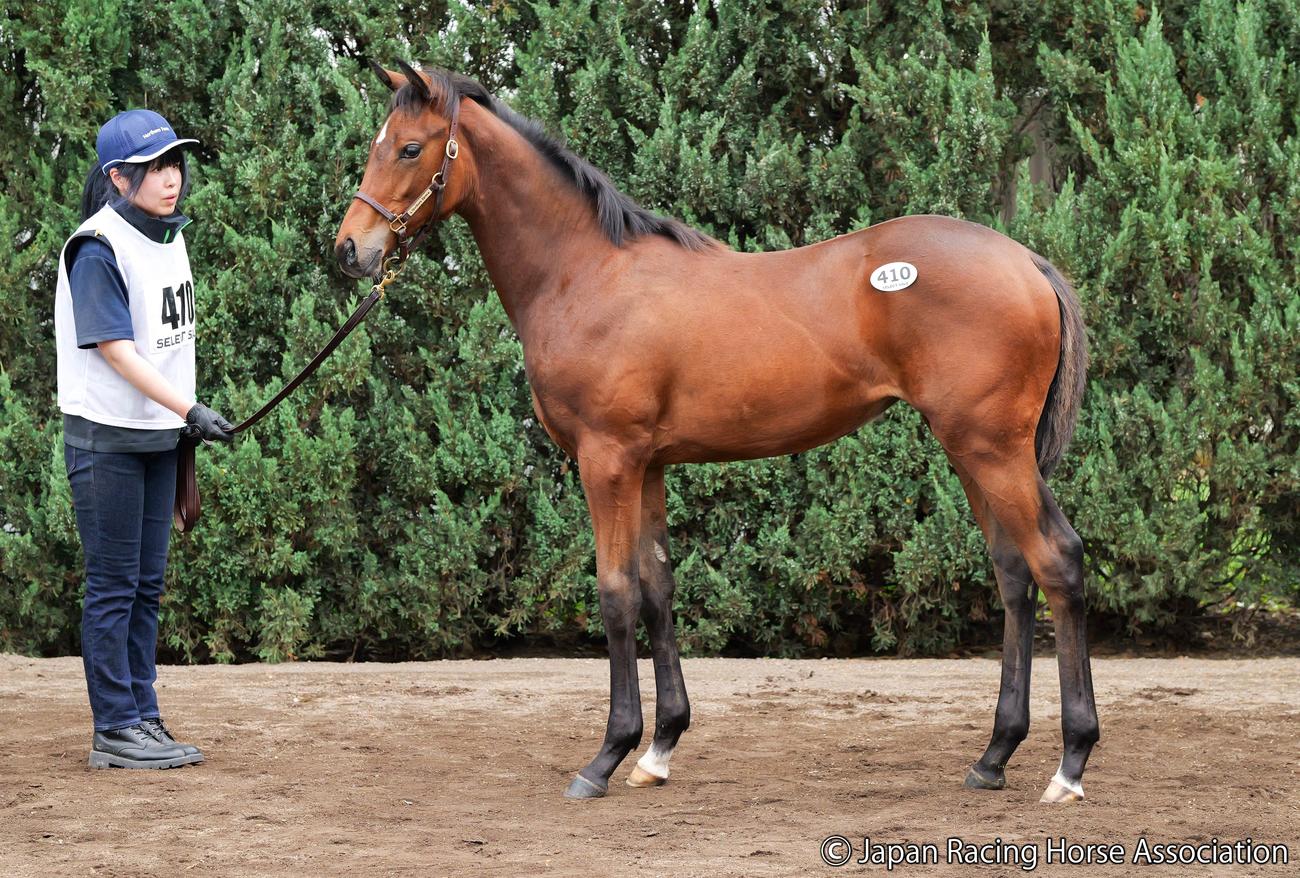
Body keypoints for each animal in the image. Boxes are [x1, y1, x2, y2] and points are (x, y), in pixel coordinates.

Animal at [334, 61, 1098, 804]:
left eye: (410, 148)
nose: (349, 251)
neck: (587, 274)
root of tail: (1027, 263)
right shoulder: (648, 465)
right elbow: (657, 588)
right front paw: (659, 750)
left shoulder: (606, 461)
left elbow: (616, 593)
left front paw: (606, 757)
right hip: (971, 451)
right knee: (1014, 574)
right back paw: (993, 757)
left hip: (991, 448)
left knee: (1057, 560)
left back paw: (1069, 765)